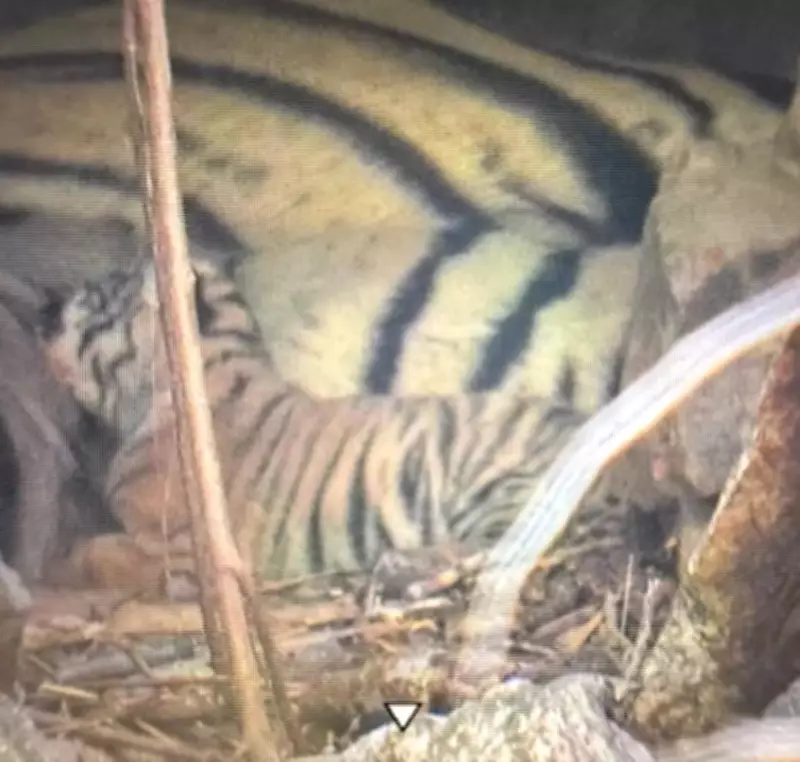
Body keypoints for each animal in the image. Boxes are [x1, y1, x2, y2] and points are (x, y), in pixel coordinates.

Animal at [37, 254, 591, 587]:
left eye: (97, 299)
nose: (45, 309)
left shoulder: (188, 550)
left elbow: (103, 554)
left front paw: (62, 565)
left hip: (493, 480)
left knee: (507, 545)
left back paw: (404, 567)